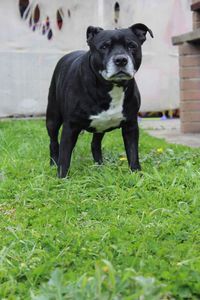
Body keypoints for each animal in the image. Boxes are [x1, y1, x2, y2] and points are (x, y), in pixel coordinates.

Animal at [46, 24, 153, 178]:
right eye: (104, 47)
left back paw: (100, 166)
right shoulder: (70, 127)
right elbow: (65, 156)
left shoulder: (131, 126)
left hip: (101, 126)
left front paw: (136, 174)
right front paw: (61, 178)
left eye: (132, 46)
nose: (121, 59)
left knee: (95, 144)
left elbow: (133, 153)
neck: (109, 87)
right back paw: (53, 163)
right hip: (52, 118)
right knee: (54, 142)